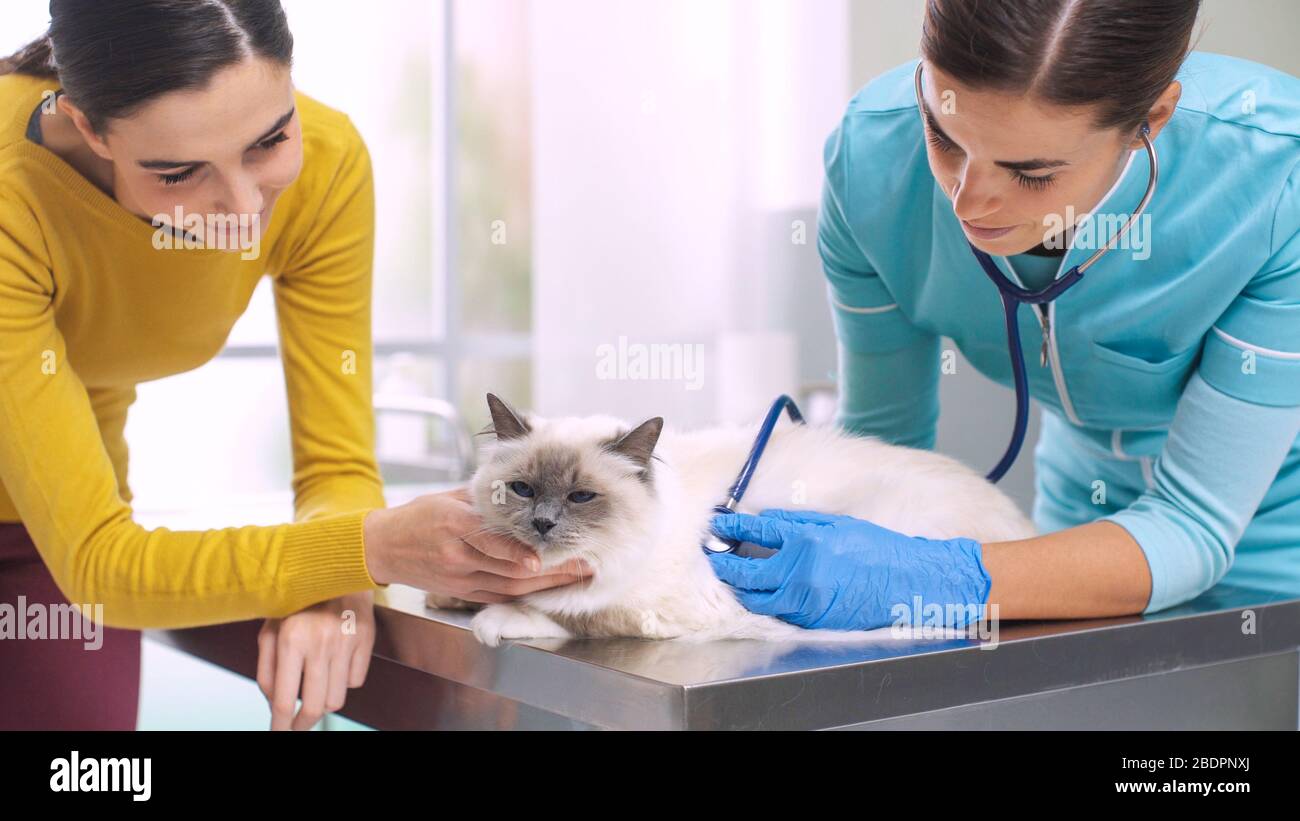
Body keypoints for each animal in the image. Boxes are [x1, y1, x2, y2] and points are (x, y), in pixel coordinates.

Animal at [426, 394, 1034, 644]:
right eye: (523, 490)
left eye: (581, 497)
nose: (544, 525)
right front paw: (451, 597)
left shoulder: (673, 608)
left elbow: (571, 613)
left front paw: (498, 619)